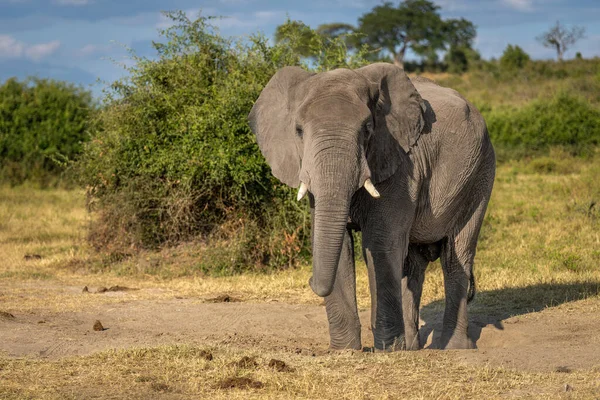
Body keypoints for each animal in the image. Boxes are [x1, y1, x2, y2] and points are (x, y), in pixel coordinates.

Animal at [248, 62, 496, 350]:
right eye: (298, 130)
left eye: (367, 128)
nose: (309, 281)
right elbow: (339, 245)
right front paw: (345, 351)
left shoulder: (400, 164)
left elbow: (380, 243)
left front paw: (387, 351)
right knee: (413, 264)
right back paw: (411, 347)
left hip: (480, 172)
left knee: (457, 255)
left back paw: (452, 348)